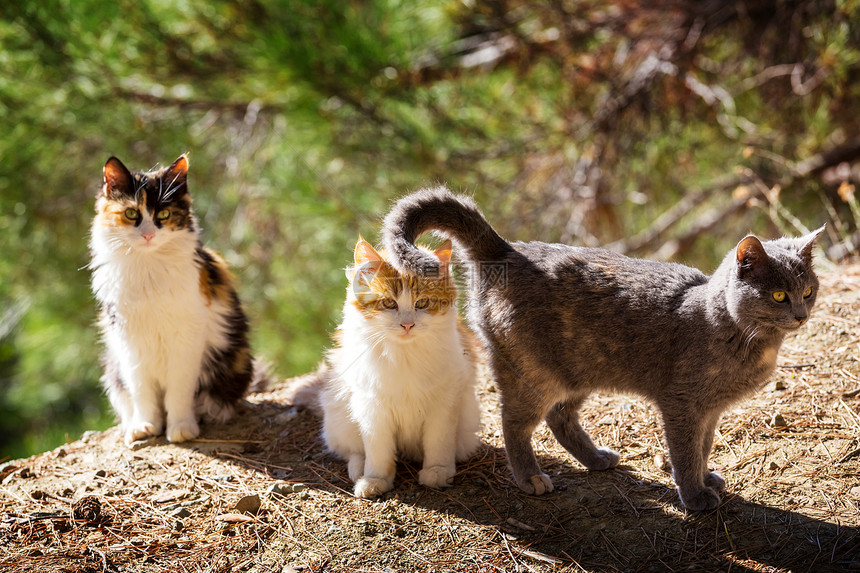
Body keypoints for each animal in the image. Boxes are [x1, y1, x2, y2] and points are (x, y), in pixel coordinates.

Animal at [88, 154, 266, 444]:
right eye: (131, 213)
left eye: (163, 214)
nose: (148, 234)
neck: (148, 269)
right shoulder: (129, 342)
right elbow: (142, 391)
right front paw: (147, 426)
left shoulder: (187, 339)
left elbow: (179, 392)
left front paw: (181, 428)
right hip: (113, 369)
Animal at [294, 237, 484, 496]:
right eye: (388, 303)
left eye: (422, 303)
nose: (407, 325)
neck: (404, 355)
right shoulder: (373, 410)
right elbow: (379, 452)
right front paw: (375, 481)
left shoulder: (443, 404)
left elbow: (438, 444)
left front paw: (437, 472)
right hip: (340, 414)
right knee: (352, 451)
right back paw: (359, 470)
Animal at [382, 187, 820, 510]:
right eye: (779, 295)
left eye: (808, 291)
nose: (800, 315)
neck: (734, 330)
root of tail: (507, 250)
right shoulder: (681, 403)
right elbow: (684, 450)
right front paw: (695, 495)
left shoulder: (709, 410)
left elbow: (703, 445)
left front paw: (705, 477)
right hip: (532, 371)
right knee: (513, 421)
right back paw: (530, 478)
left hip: (577, 369)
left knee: (560, 417)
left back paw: (596, 460)